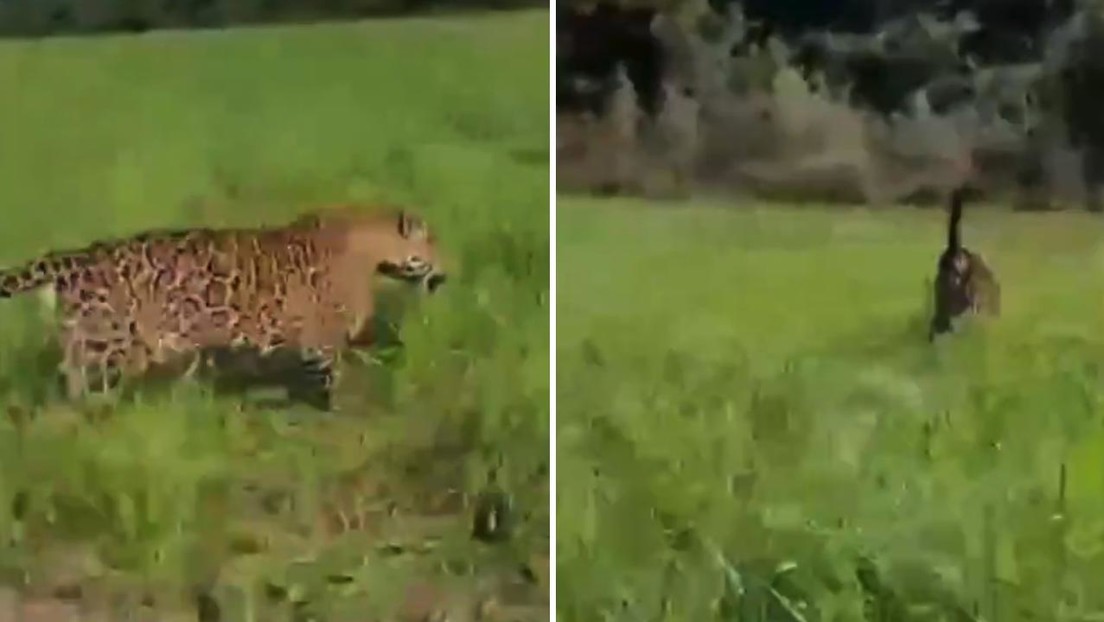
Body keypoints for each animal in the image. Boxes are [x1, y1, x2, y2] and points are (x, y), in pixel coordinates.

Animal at [0, 205, 447, 410]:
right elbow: (336, 377)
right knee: (78, 382)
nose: (446, 272)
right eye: (434, 243)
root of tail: (77, 257)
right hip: (110, 345)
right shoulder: (324, 340)